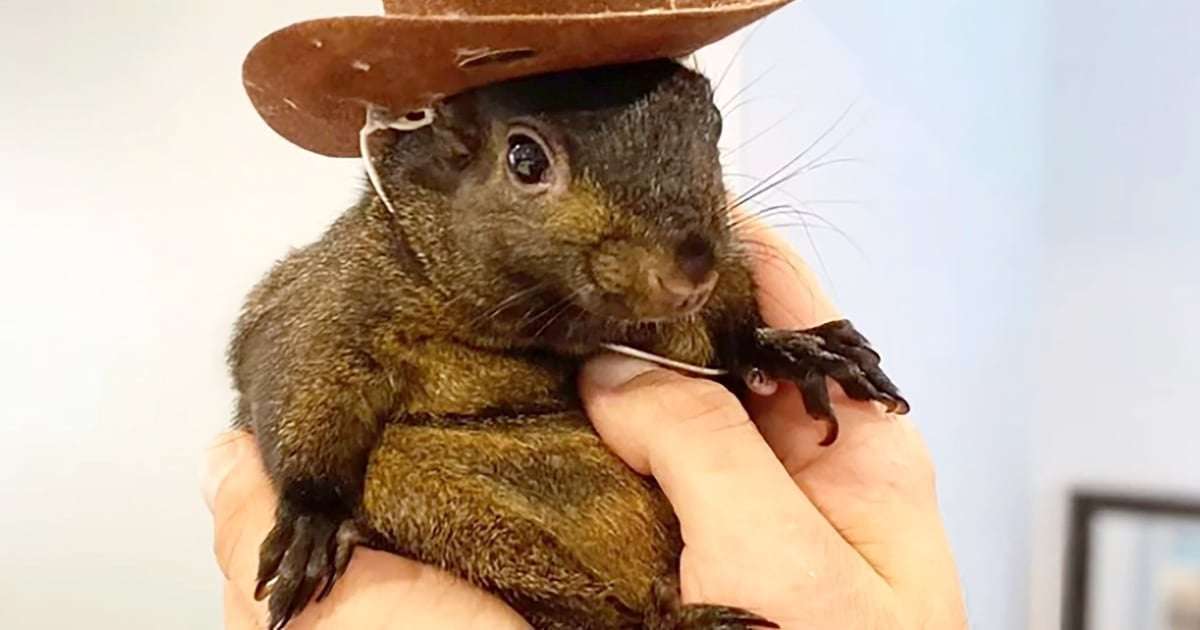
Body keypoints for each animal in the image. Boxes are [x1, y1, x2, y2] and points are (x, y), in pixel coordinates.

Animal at [229, 58, 907, 630]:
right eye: (525, 159)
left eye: (712, 123)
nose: (691, 269)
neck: (554, 326)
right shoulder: (333, 298)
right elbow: (298, 376)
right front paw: (311, 519)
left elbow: (732, 334)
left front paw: (792, 349)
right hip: (428, 496)